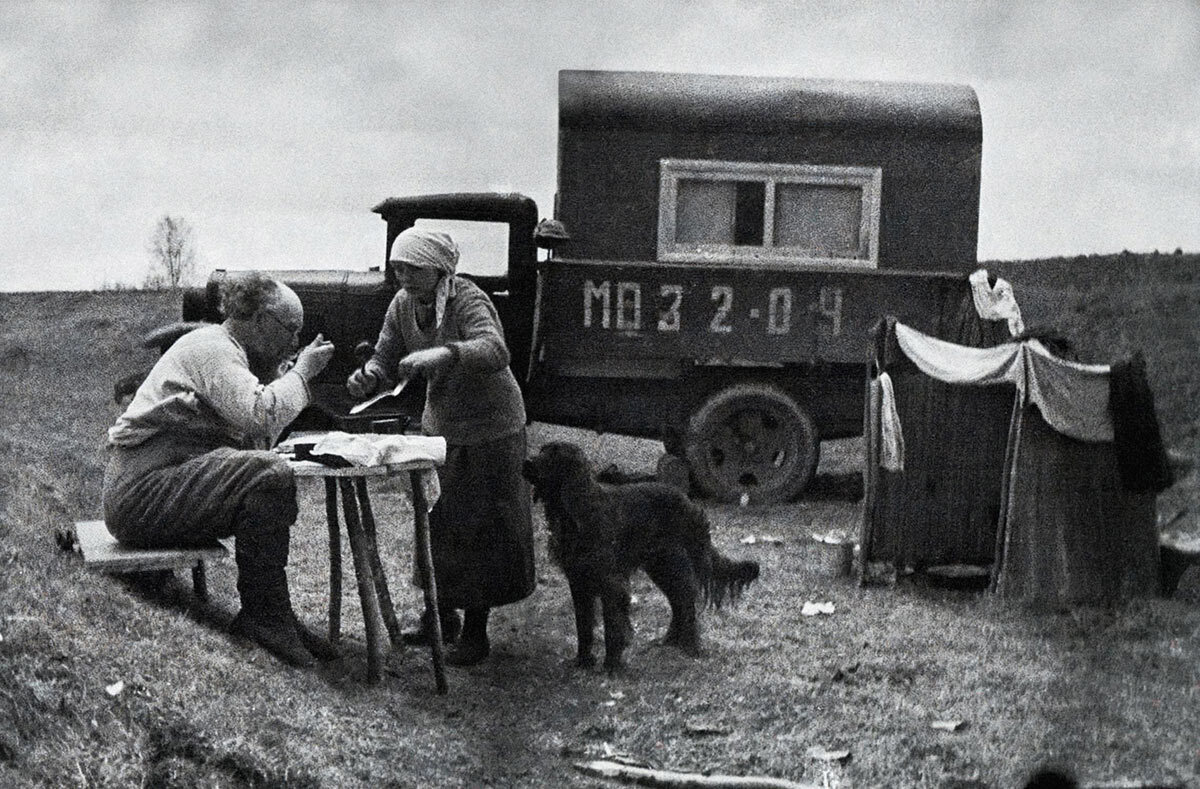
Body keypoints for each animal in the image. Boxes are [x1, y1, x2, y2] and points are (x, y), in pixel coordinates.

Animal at [520, 438, 753, 666]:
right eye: (542, 450)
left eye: (554, 454)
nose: (526, 463)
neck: (578, 511)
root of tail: (690, 504)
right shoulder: (578, 579)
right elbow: (583, 624)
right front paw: (582, 660)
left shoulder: (611, 581)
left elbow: (613, 625)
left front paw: (612, 664)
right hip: (661, 565)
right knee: (679, 600)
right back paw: (670, 640)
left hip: (672, 563)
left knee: (686, 601)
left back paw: (690, 647)